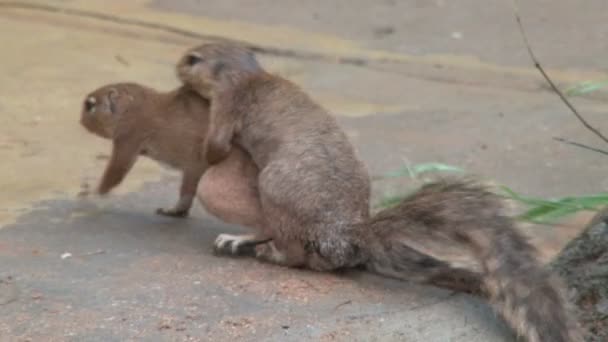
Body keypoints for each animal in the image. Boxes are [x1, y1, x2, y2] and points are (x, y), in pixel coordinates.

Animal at [175, 43, 580, 342]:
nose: (177, 66)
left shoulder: (227, 106)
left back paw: (265, 250)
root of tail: (344, 238)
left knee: (293, 252)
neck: (247, 73)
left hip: (275, 186)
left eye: (194, 59)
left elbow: (216, 149)